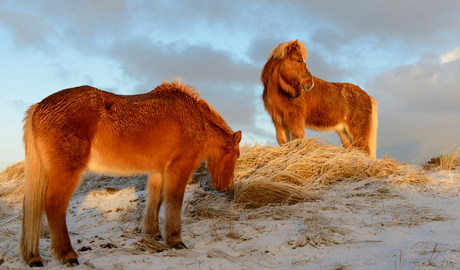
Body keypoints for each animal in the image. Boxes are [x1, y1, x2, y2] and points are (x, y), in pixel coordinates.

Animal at [19, 79, 243, 266]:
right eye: (237, 155)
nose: (227, 186)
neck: (196, 119)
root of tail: (38, 108)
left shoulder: (158, 171)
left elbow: (156, 199)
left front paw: (152, 233)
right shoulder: (179, 167)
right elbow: (174, 201)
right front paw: (175, 240)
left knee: (31, 206)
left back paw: (33, 257)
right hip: (66, 171)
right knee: (54, 205)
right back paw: (68, 255)